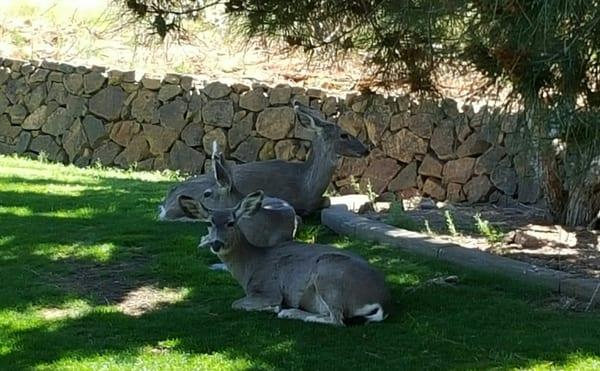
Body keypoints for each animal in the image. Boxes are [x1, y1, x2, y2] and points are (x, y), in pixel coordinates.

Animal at [177, 190, 394, 326]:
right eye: (209, 223)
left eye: (231, 222)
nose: (216, 244)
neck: (251, 264)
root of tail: (382, 299)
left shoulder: (268, 289)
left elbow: (237, 303)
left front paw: (273, 308)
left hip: (329, 274)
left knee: (337, 319)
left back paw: (291, 313)